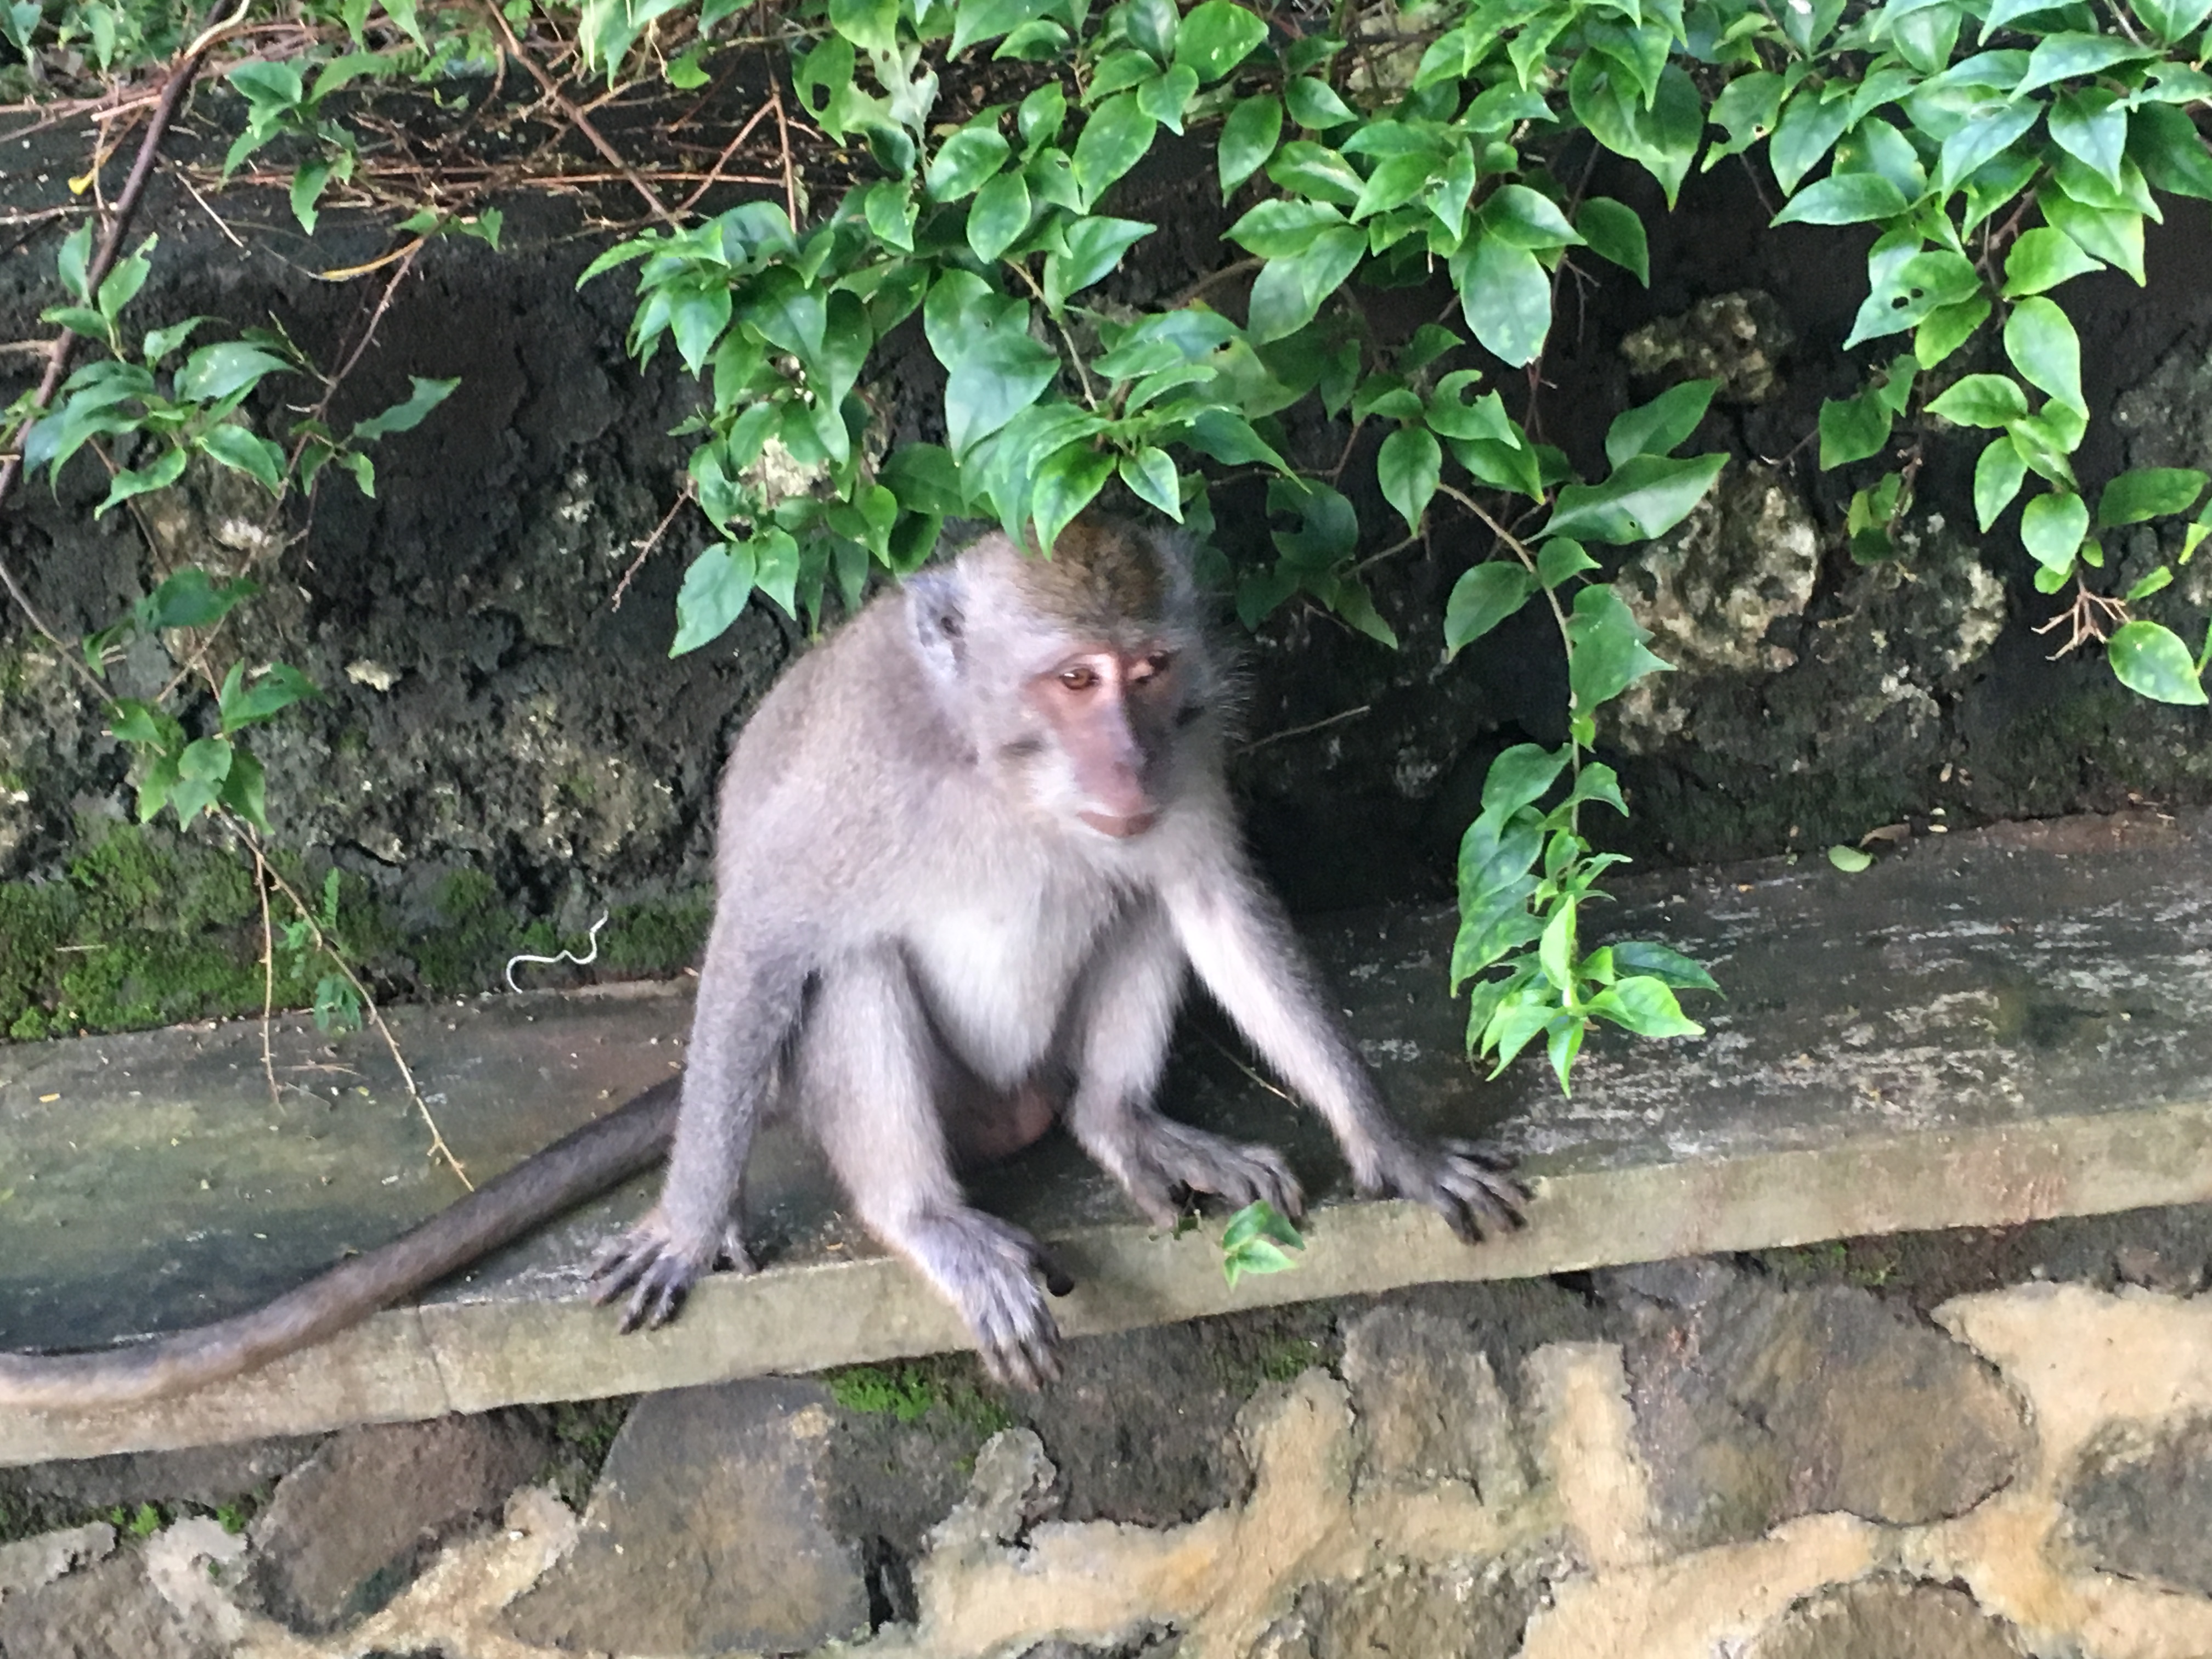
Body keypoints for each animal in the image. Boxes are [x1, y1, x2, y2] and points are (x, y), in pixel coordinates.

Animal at [0, 513, 1522, 1407]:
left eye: (1146, 672)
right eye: (1073, 680)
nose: (1127, 760)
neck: (996, 766)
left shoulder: (1191, 759)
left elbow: (1208, 900)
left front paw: (1396, 1149)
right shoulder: (853, 783)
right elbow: (768, 944)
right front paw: (687, 1226)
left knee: (1135, 903)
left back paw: (1120, 1121)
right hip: (900, 1098)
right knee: (850, 978)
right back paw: (923, 1218)